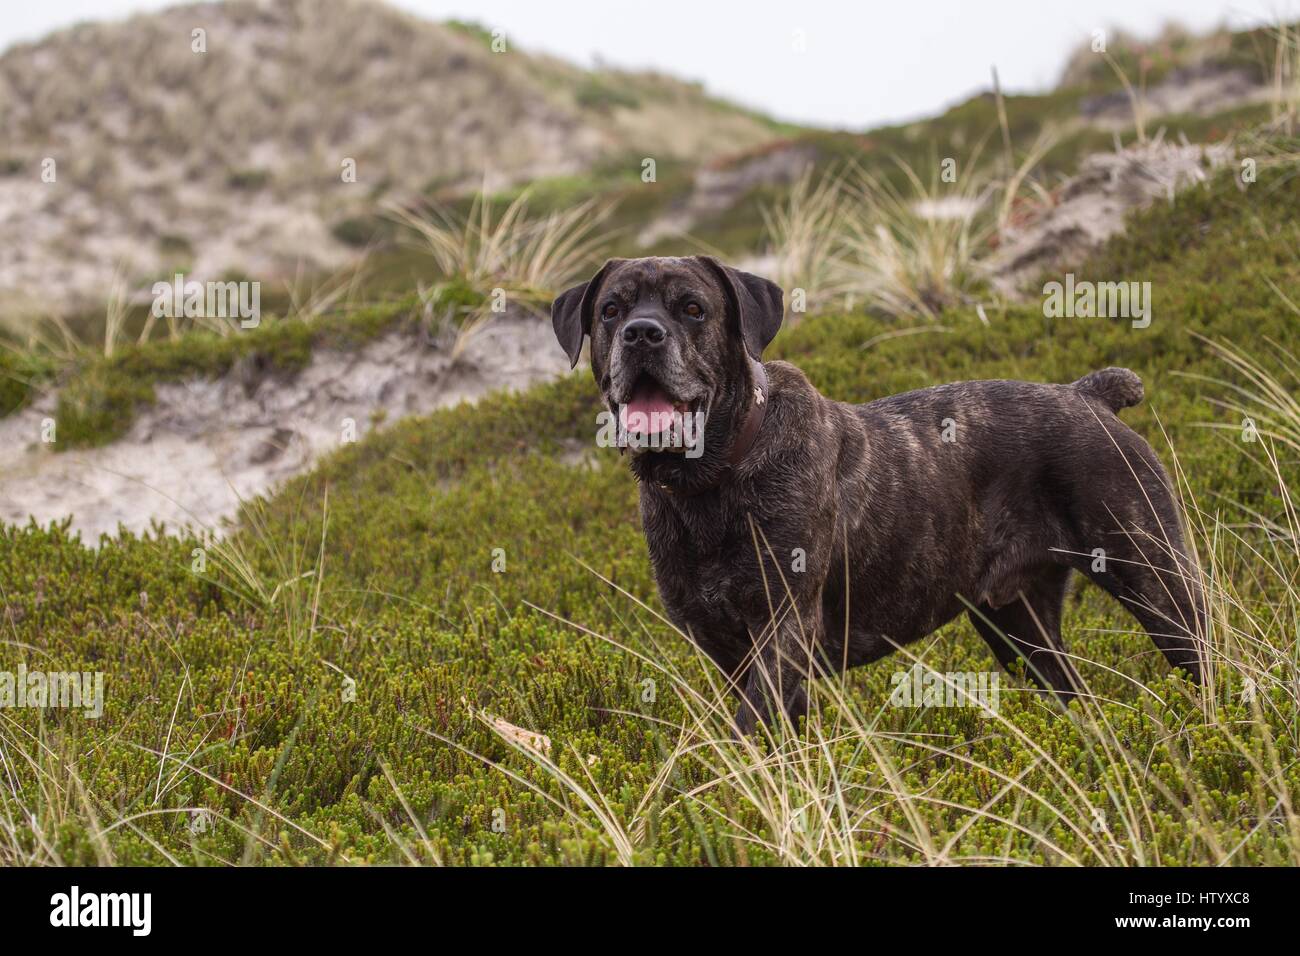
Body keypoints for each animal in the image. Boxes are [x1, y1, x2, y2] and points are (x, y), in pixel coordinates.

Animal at [546, 254, 1196, 733]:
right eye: (611, 310)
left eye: (692, 308)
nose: (642, 333)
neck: (709, 481)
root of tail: (1087, 394)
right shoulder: (726, 645)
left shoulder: (784, 627)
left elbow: (751, 725)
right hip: (1017, 623)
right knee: (1070, 690)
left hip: (1157, 581)